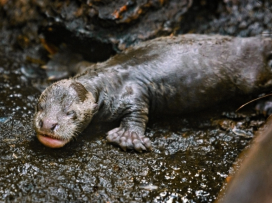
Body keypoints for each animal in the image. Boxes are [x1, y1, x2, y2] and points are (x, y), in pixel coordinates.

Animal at [34, 35, 272, 151]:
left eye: (70, 113)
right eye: (40, 106)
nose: (47, 124)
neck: (105, 80)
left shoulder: (132, 93)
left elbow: (138, 111)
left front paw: (128, 137)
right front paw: (63, 61)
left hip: (250, 77)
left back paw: (264, 106)